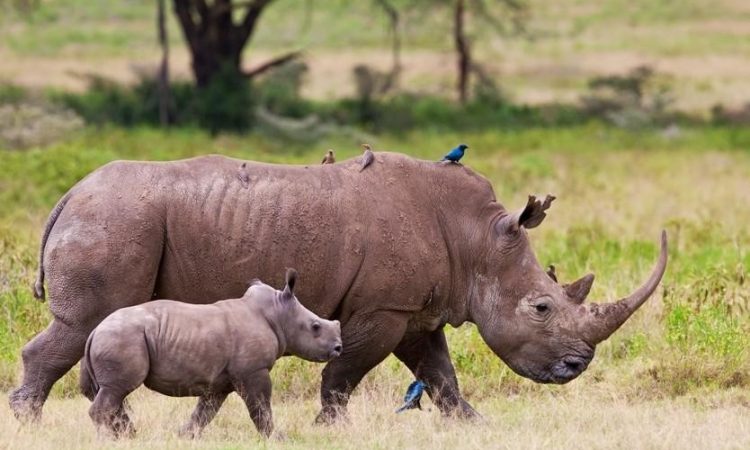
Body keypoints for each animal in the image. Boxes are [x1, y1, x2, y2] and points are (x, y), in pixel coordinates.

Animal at [79, 268, 344, 438]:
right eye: (315, 327)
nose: (338, 347)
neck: (278, 314)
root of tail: (95, 331)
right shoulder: (253, 370)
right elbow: (260, 407)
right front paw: (278, 439)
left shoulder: (219, 380)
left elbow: (205, 412)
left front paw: (184, 437)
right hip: (122, 338)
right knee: (117, 389)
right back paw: (111, 440)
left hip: (116, 337)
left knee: (114, 392)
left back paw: (129, 437)